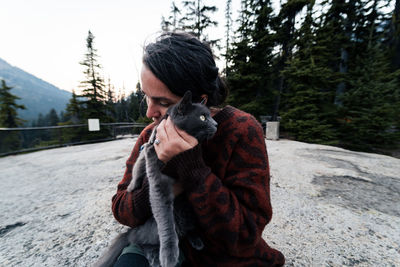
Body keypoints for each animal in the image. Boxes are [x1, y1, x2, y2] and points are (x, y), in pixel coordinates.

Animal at [94, 91, 217, 267]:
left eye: (209, 116)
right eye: (202, 117)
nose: (216, 124)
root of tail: (131, 230)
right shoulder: (154, 164)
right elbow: (165, 221)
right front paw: (169, 255)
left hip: (187, 213)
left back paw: (197, 241)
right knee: (138, 241)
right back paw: (154, 255)